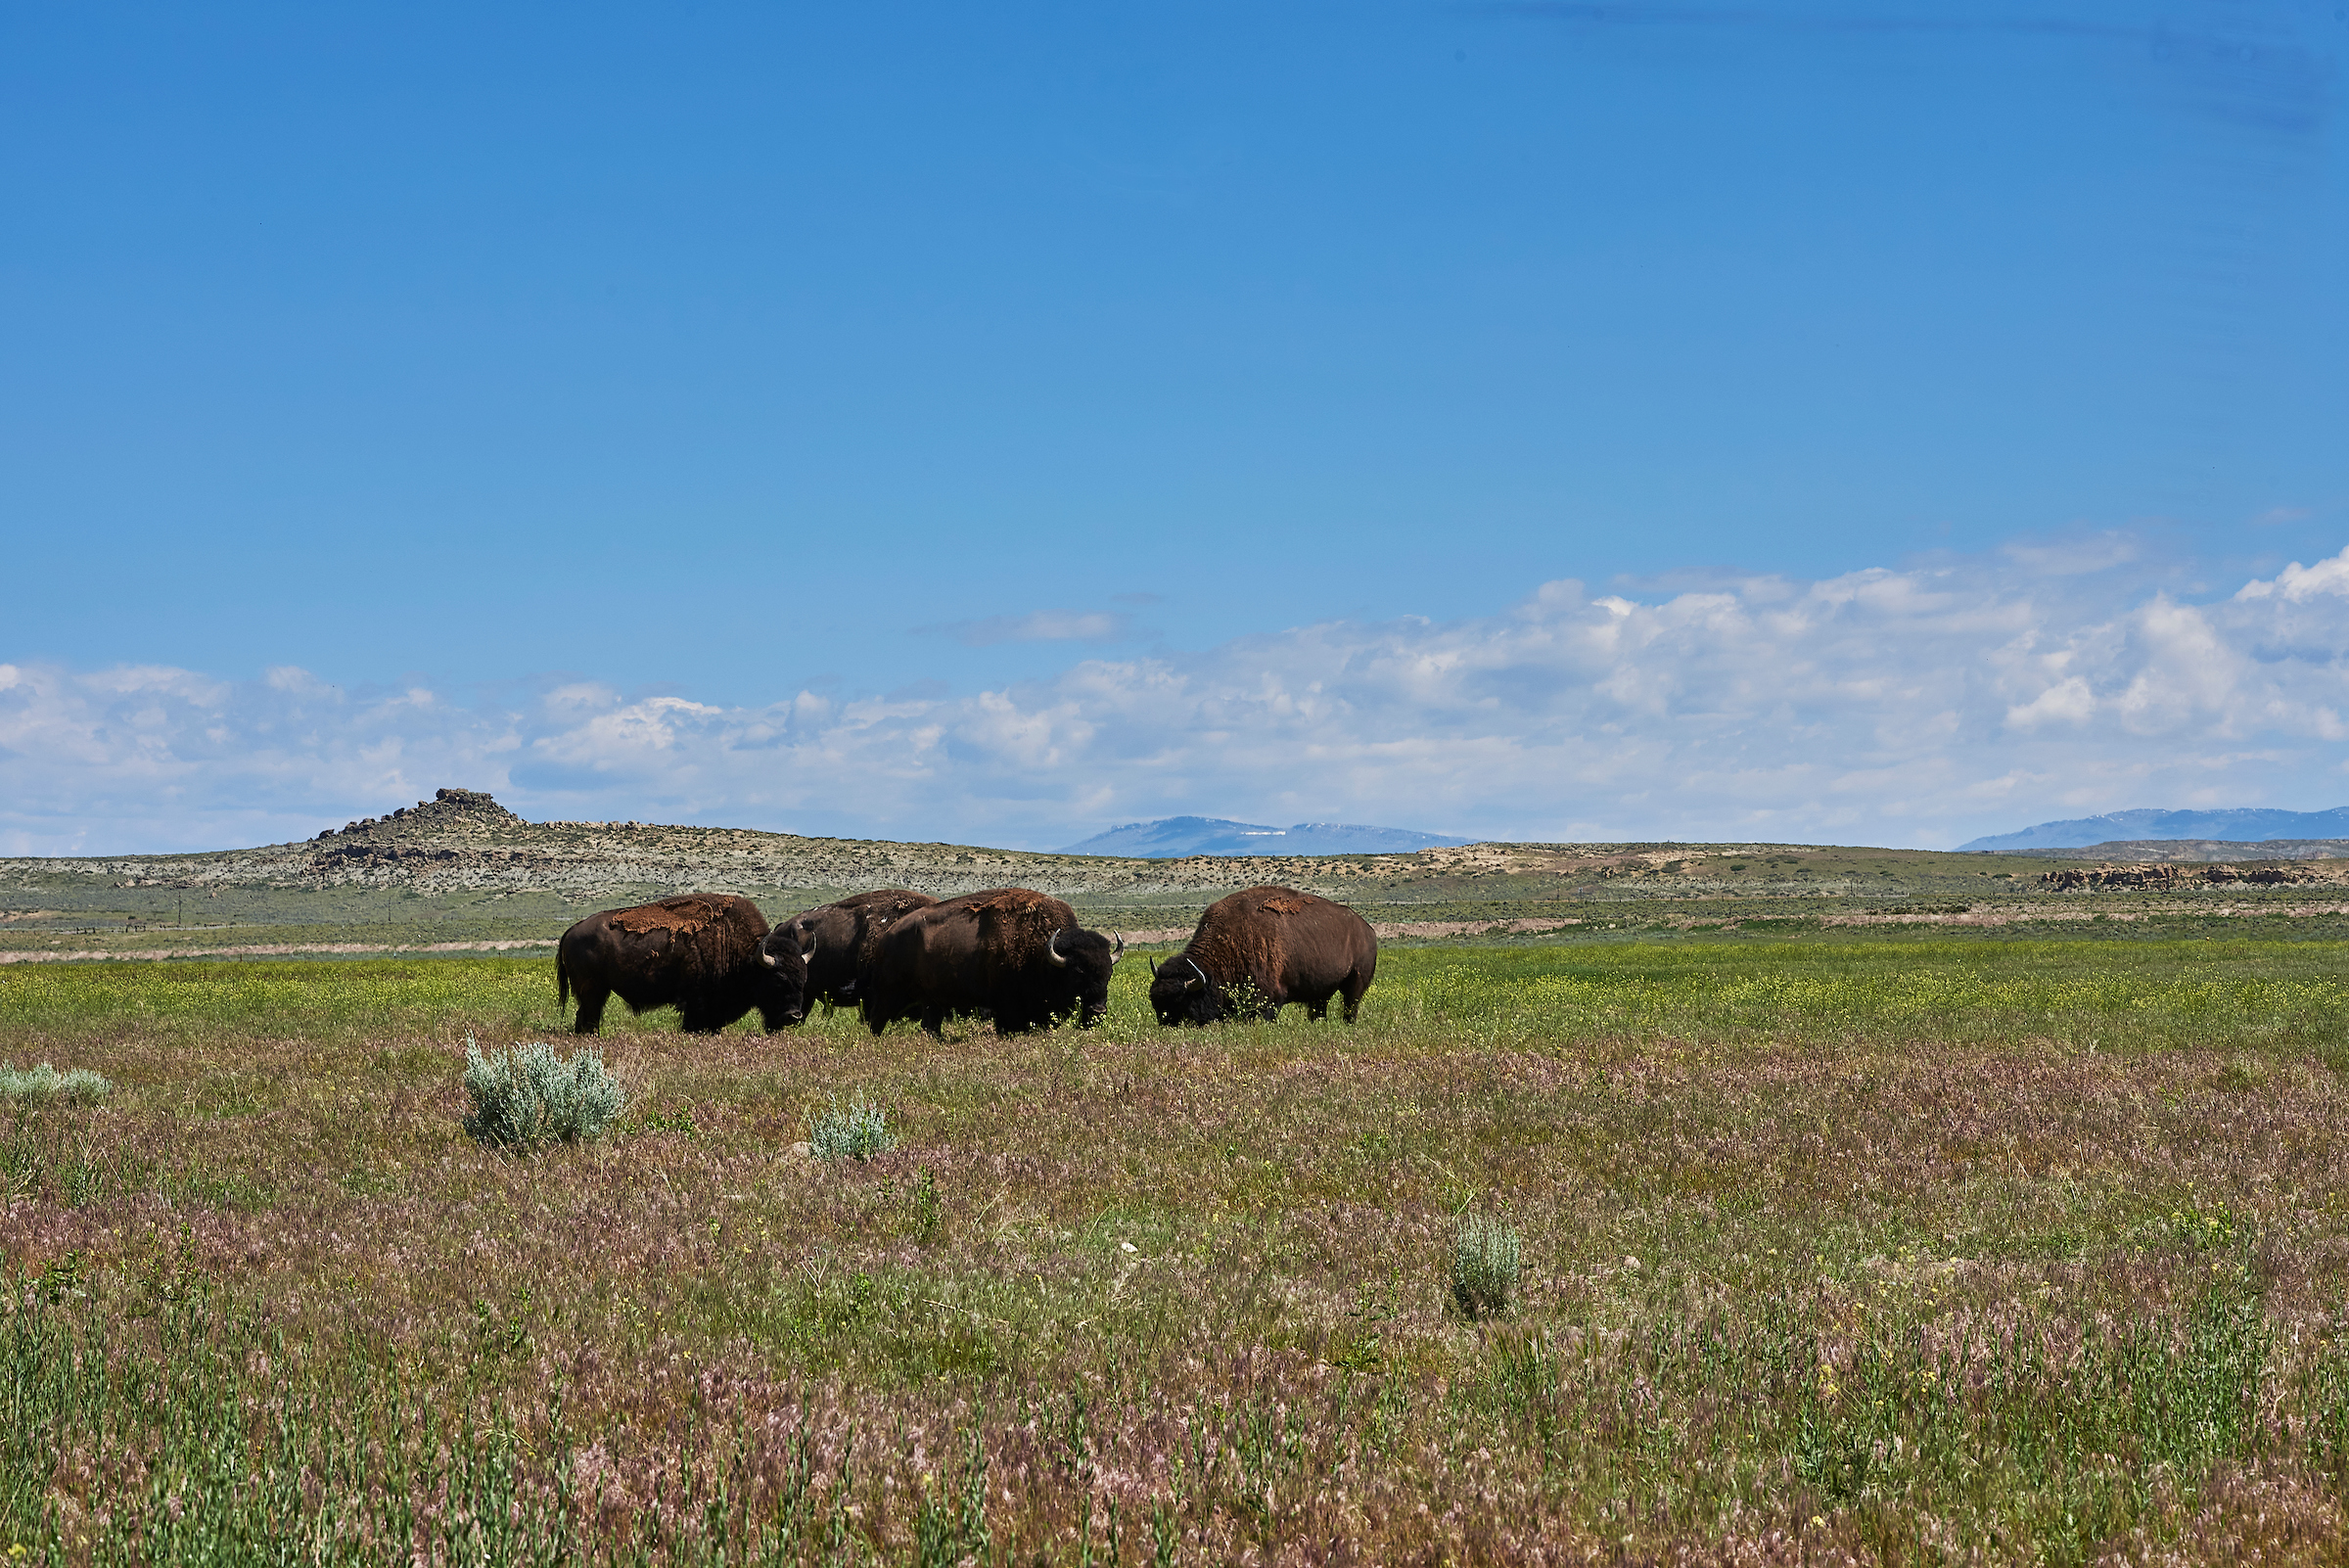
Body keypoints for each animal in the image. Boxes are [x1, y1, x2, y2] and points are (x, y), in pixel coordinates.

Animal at [556, 887, 807, 1033]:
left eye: (803, 981)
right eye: (778, 979)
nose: (794, 1016)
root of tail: (571, 931)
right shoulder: (696, 1001)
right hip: (593, 991)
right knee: (589, 1015)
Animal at [859, 887, 1123, 1033]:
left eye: (1108, 974)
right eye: (1078, 971)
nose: (1098, 1010)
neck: (1044, 955)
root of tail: (887, 937)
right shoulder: (1008, 1010)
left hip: (930, 1001)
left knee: (930, 1025)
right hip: (889, 994)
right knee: (877, 1020)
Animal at [1141, 887, 1371, 1023]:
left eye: (1181, 1003)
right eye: (1155, 1002)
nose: (1166, 1026)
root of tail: (1367, 929)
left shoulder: (1269, 1000)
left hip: (1355, 984)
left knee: (1350, 1007)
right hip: (1320, 993)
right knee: (1319, 1009)